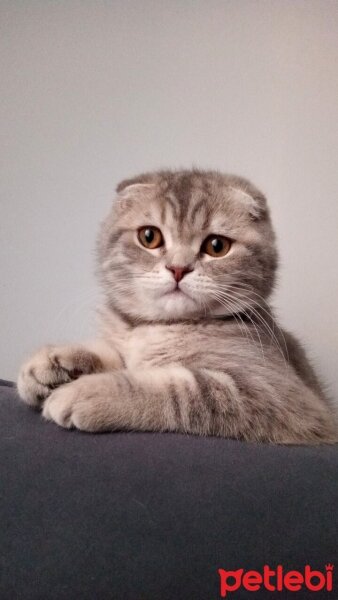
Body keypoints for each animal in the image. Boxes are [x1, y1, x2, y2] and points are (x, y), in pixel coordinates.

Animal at [17, 171, 336, 442]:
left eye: (217, 246)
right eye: (149, 237)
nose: (178, 268)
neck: (159, 328)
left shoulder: (279, 397)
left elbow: (181, 389)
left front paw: (89, 391)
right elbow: (113, 354)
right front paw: (52, 363)